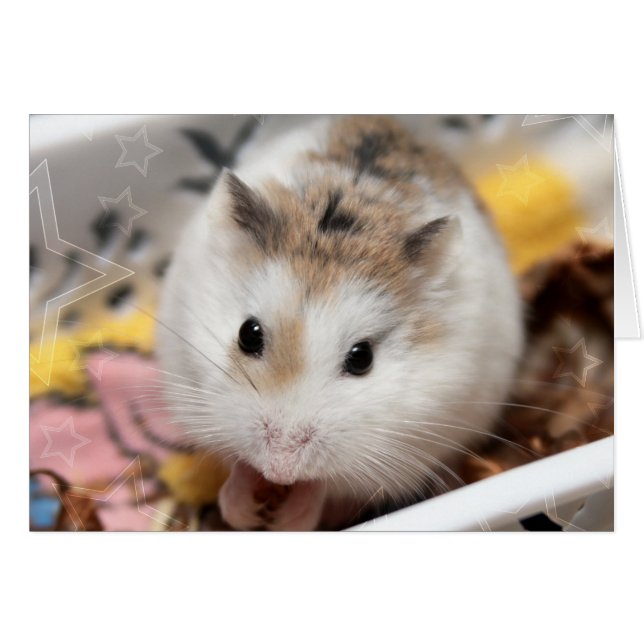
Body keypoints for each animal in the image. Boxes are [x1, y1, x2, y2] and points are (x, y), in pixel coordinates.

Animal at [156, 116, 524, 530]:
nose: (279, 469)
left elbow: (322, 486)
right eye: (247, 334)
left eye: (362, 358)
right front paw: (244, 509)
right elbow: (238, 465)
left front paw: (285, 520)